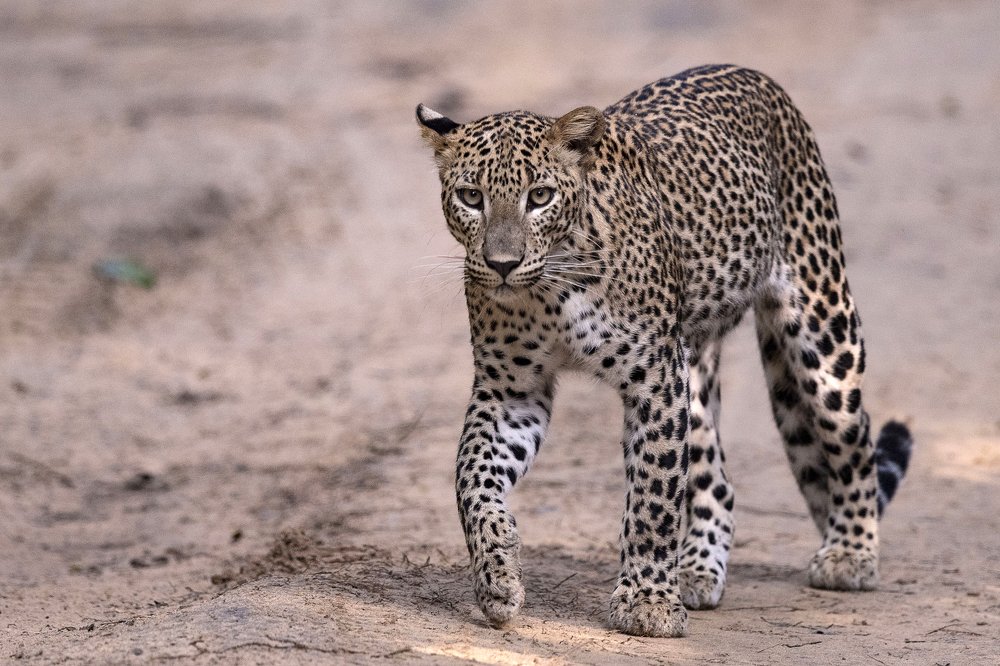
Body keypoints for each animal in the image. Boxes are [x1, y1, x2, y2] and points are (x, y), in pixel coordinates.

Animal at [415, 64, 913, 638]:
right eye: (471, 197)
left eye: (539, 196)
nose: (501, 264)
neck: (552, 289)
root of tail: (758, 78)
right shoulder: (510, 390)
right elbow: (471, 477)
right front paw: (497, 574)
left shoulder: (653, 378)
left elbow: (653, 494)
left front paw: (648, 603)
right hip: (692, 377)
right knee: (718, 482)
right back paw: (698, 570)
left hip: (823, 333)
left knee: (855, 445)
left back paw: (850, 554)